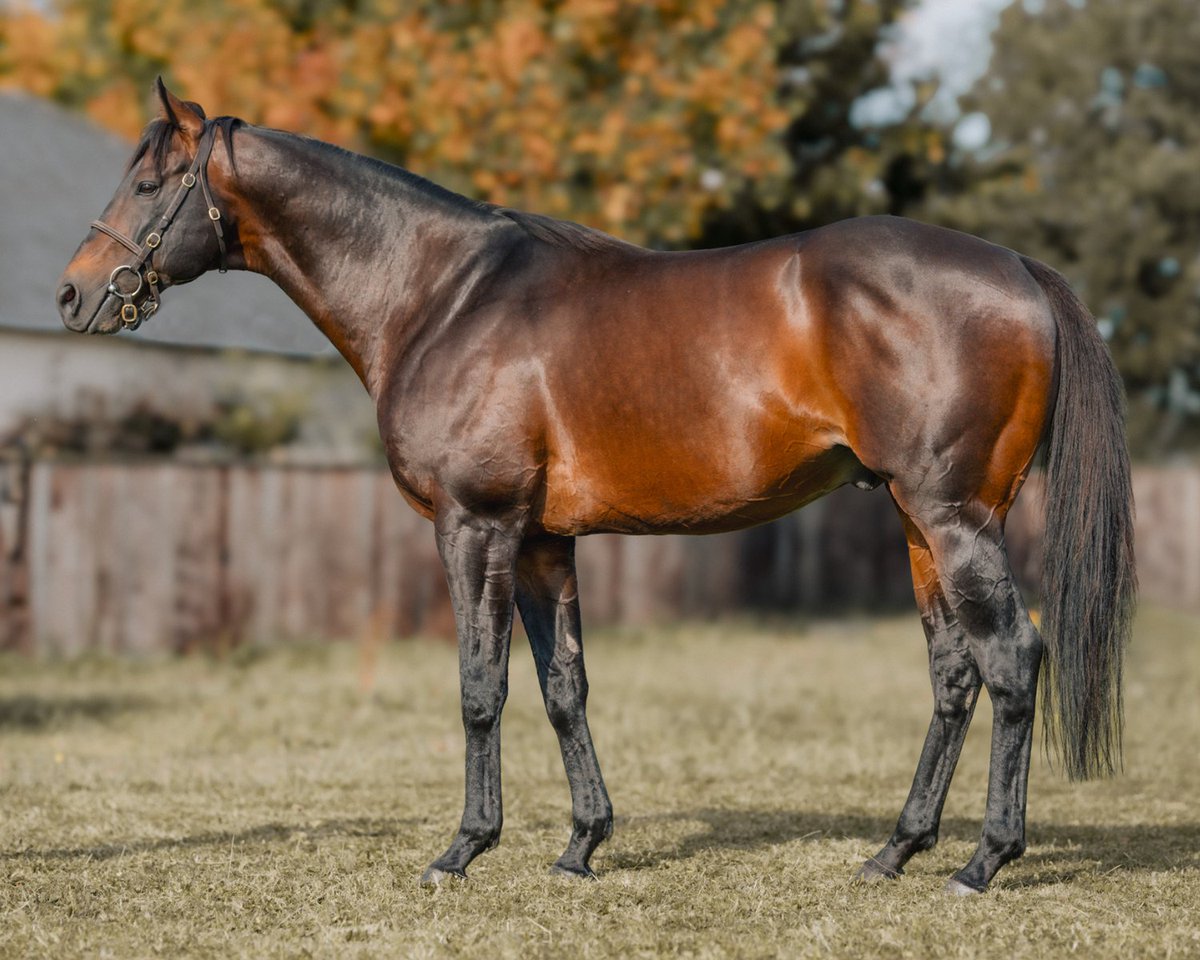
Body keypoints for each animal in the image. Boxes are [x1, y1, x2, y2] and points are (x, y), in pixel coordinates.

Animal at [56, 80, 1135, 895]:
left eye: (149, 180)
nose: (72, 294)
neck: (441, 295)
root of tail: (1016, 267)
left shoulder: (476, 527)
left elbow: (481, 687)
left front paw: (463, 850)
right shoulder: (542, 541)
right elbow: (563, 686)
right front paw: (581, 846)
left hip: (955, 521)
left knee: (1012, 661)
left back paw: (983, 862)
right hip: (919, 523)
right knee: (954, 674)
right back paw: (894, 852)